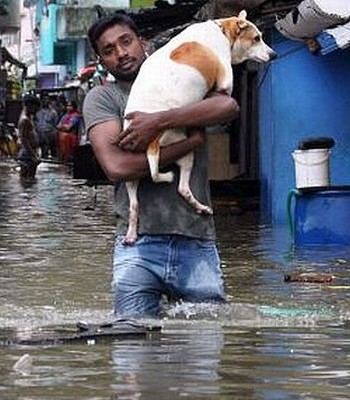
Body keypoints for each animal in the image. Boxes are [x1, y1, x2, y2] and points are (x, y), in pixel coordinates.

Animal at [123, 10, 276, 244]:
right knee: (182, 189)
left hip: (131, 173)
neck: (222, 29)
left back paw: (131, 233)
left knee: (134, 205)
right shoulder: (224, 86)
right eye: (256, 38)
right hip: (185, 152)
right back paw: (202, 207)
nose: (274, 54)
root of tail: (152, 141)